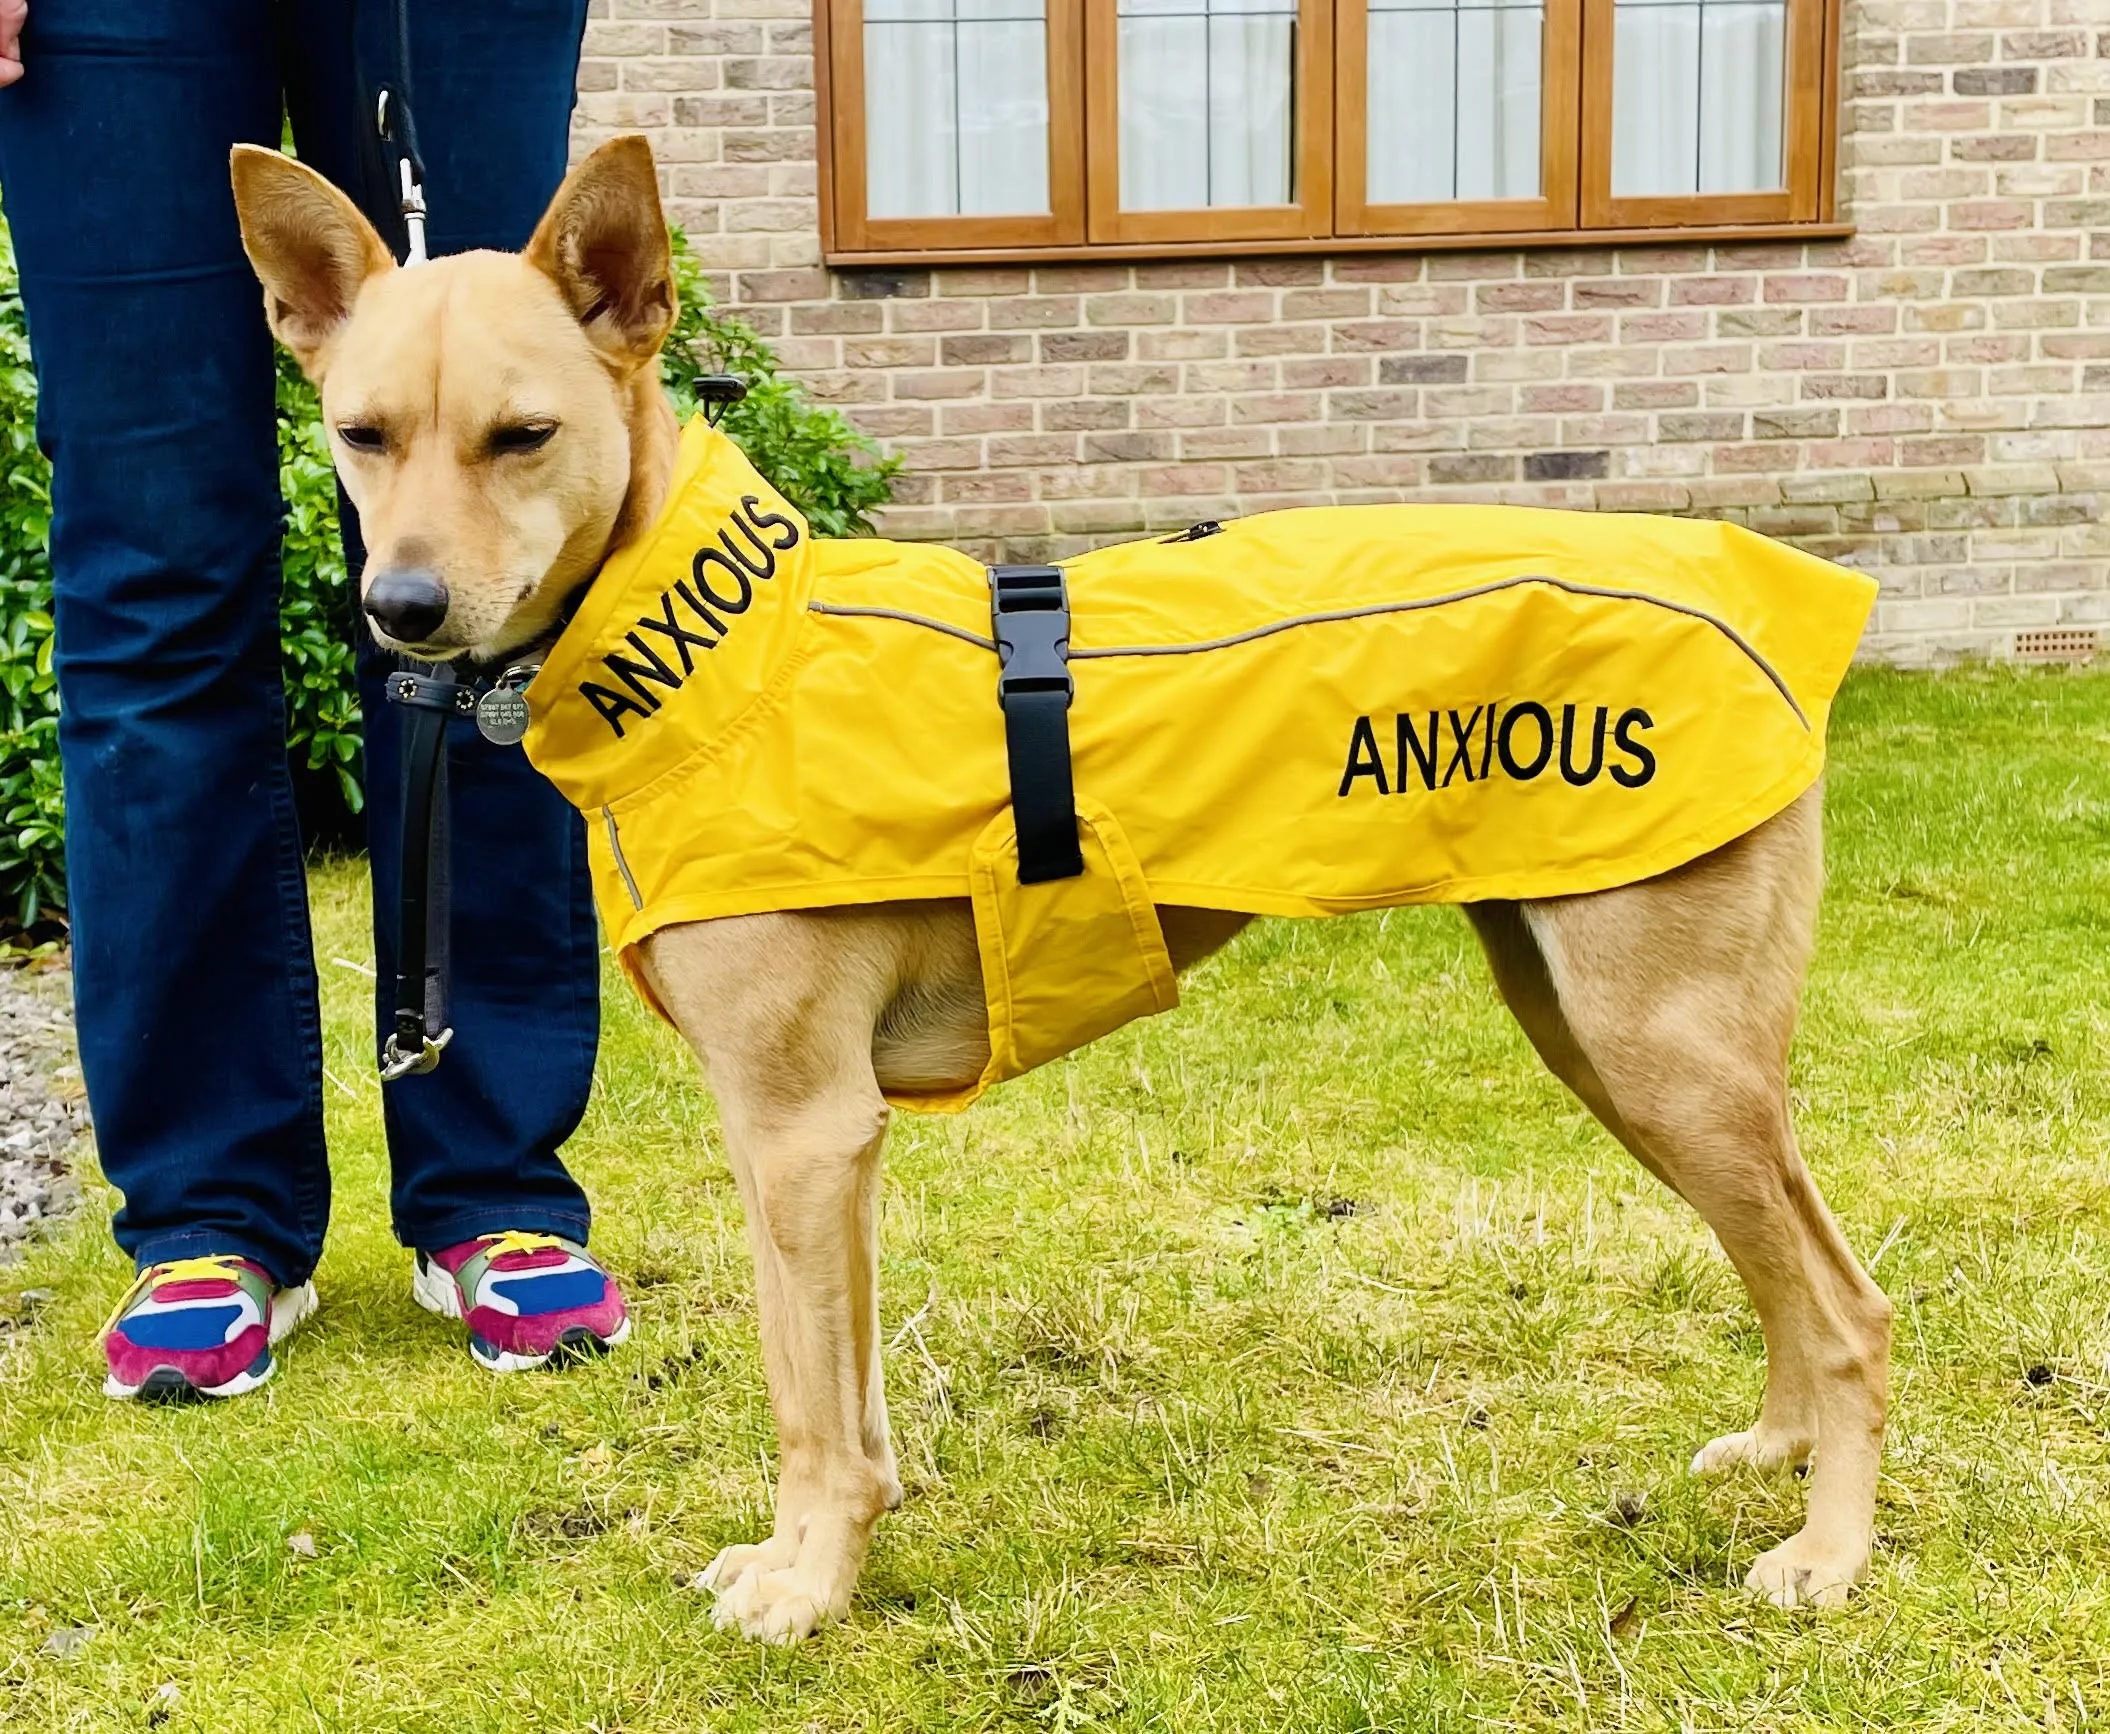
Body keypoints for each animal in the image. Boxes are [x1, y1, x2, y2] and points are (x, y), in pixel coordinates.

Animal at [231, 132, 1898, 1645]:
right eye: (360, 433)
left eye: (522, 434)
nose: (401, 607)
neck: (722, 660)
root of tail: (1774, 600)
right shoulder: (819, 1151)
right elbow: (844, 1396)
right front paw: (821, 1549)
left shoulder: (797, 1128)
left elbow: (805, 1406)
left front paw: (803, 1586)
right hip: (1609, 1043)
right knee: (1785, 1269)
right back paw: (1777, 1447)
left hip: (1661, 1052)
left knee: (1848, 1304)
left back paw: (1827, 1551)